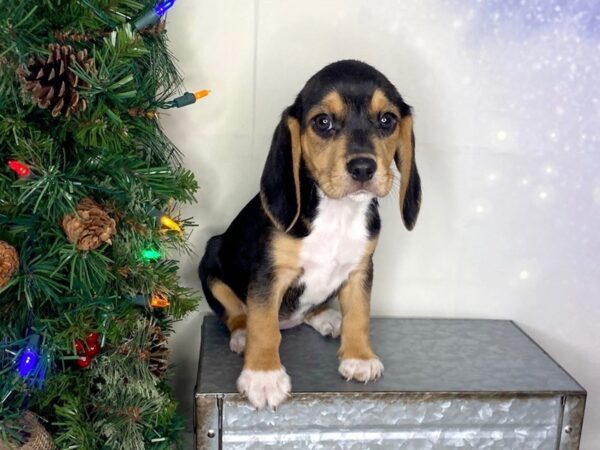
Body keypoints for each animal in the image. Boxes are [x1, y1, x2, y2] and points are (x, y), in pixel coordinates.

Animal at [198, 59, 422, 408]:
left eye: (387, 120)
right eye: (323, 122)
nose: (363, 168)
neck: (336, 213)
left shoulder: (361, 269)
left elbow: (360, 313)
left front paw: (359, 357)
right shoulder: (269, 275)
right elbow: (265, 325)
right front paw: (263, 375)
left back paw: (324, 317)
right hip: (211, 259)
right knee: (236, 313)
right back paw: (242, 334)